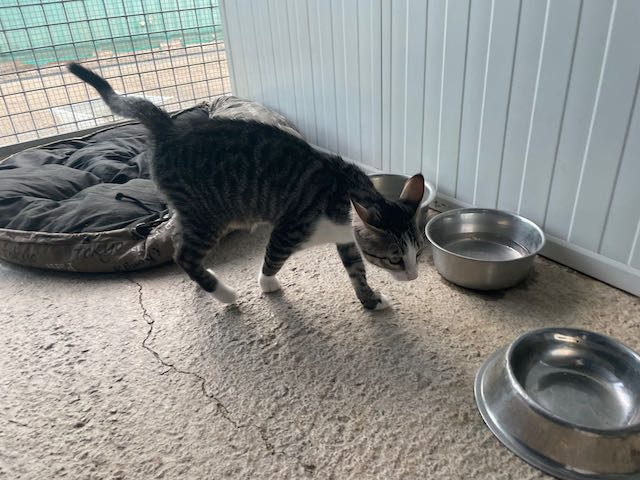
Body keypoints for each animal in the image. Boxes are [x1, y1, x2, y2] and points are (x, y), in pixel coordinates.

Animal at [68, 62, 425, 310]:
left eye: (417, 253)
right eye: (395, 259)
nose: (414, 276)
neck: (342, 197)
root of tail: (169, 128)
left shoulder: (345, 240)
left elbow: (356, 271)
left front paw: (370, 300)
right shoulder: (289, 228)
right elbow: (273, 257)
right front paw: (266, 284)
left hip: (193, 213)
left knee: (180, 248)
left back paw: (207, 279)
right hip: (208, 214)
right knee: (183, 255)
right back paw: (224, 293)